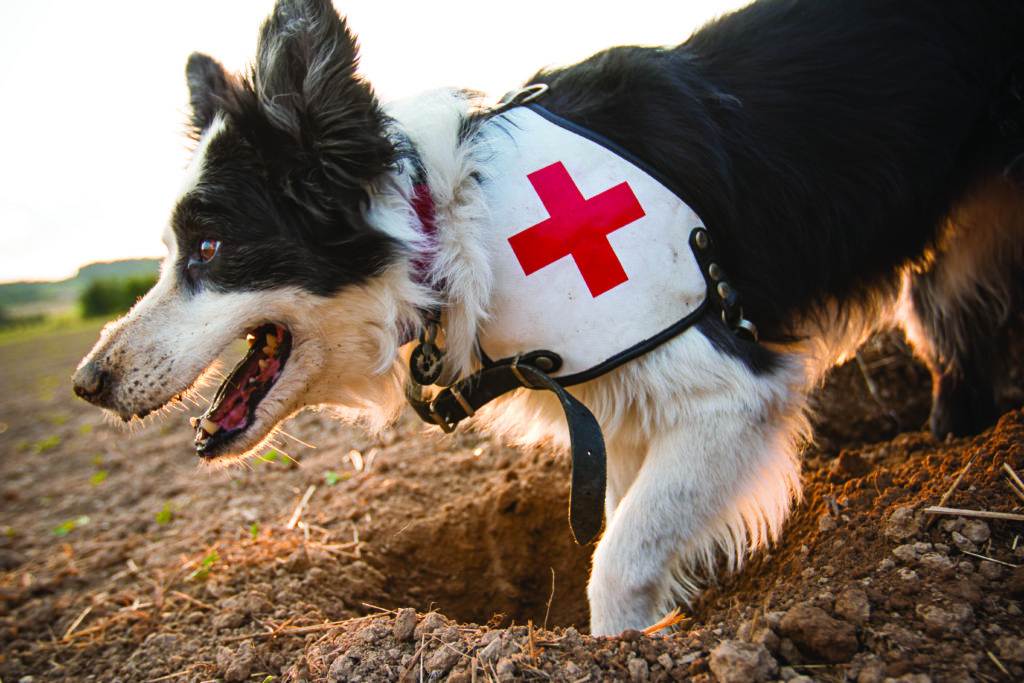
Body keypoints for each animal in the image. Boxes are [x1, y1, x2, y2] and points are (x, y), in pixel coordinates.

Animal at [74, 0, 1024, 634]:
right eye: (169, 250)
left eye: (209, 246)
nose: (87, 381)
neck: (450, 226)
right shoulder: (627, 408)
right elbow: (632, 527)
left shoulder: (733, 389)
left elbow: (618, 559)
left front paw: (620, 647)